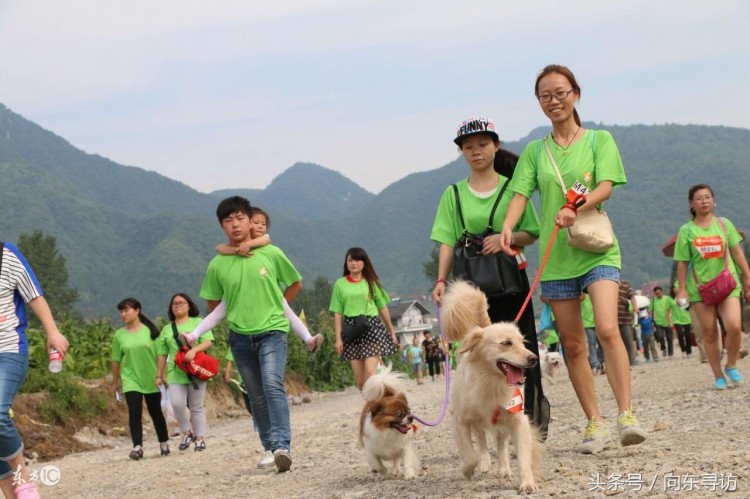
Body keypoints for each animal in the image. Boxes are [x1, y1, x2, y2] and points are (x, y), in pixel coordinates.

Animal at [444, 282, 544, 496]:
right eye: (506, 343)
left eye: (523, 342)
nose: (533, 358)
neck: (491, 383)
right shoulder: (459, 419)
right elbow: (470, 454)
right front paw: (467, 470)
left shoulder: (517, 420)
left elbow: (523, 457)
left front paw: (527, 483)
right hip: (477, 423)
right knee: (481, 441)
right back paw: (484, 464)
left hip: (501, 423)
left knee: (501, 444)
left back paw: (504, 469)